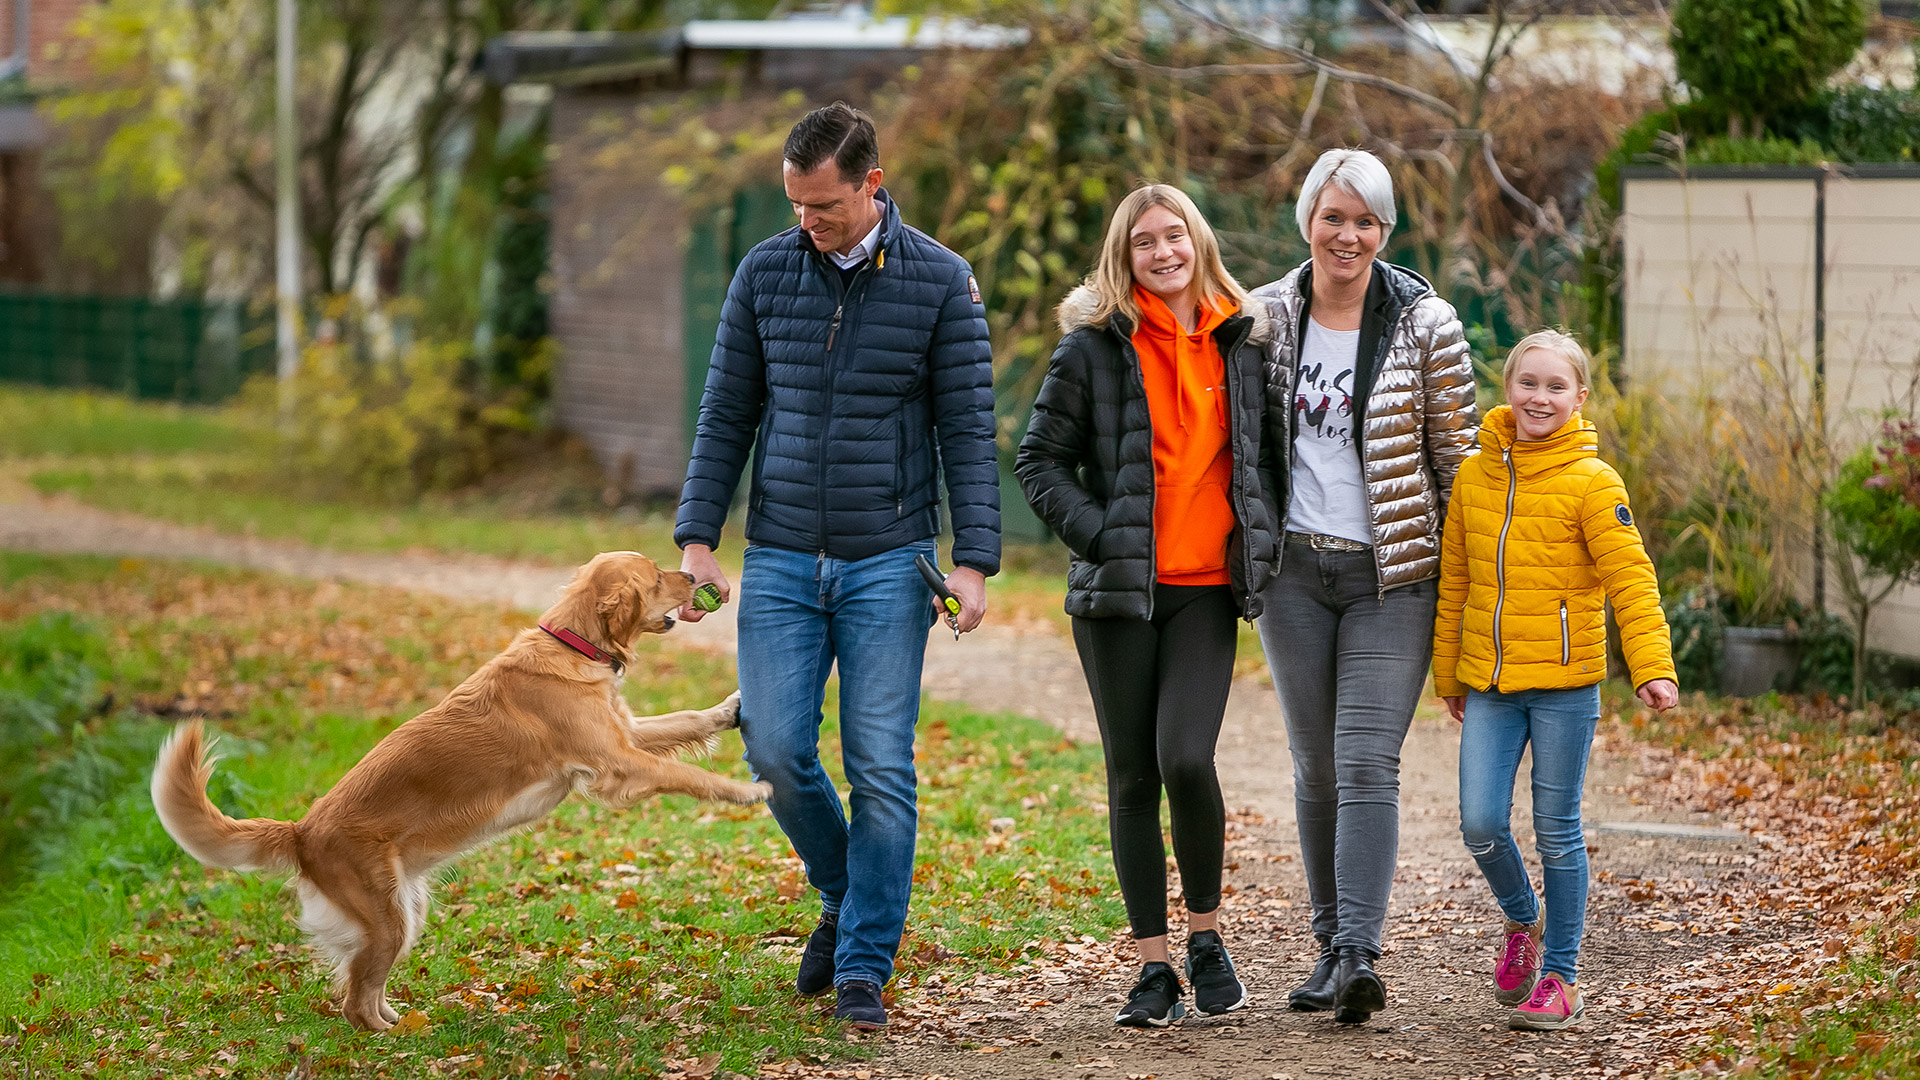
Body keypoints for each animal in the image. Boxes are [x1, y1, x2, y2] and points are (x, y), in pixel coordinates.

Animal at [151, 549, 764, 1030]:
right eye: (657, 576)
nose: (696, 576)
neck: (574, 644)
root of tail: (301, 830)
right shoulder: (618, 762)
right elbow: (689, 776)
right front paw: (746, 791)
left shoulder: (627, 736)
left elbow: (685, 720)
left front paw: (727, 709)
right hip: (387, 921)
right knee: (354, 1002)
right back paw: (396, 1036)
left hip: (404, 911)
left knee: (364, 987)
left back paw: (403, 1018)